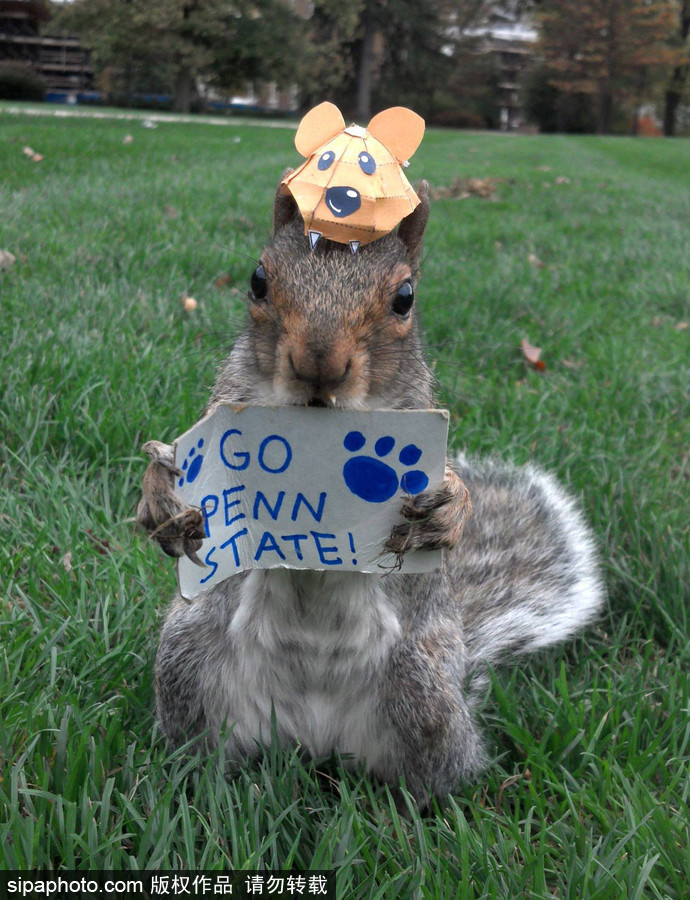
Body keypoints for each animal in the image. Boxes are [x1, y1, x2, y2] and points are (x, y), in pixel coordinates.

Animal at [138, 176, 600, 808]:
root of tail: (312, 736)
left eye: (405, 297)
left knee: (432, 777)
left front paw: (450, 508)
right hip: (186, 663)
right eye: (258, 279)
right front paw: (163, 493)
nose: (318, 362)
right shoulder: (225, 407)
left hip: (423, 695)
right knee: (208, 751)